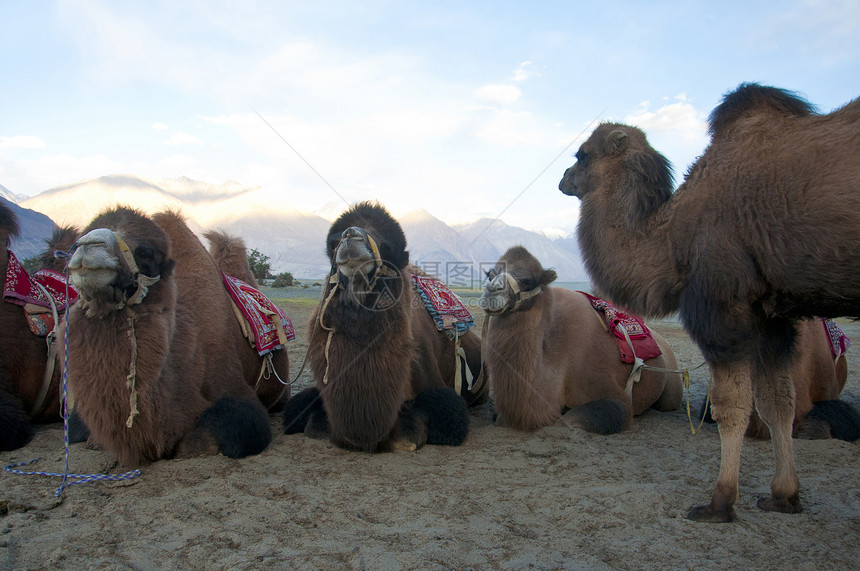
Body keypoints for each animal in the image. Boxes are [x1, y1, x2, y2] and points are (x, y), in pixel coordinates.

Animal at [63, 208, 290, 466]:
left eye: (146, 252)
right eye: (74, 243)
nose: (89, 245)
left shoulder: (234, 389)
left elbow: (222, 432)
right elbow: (78, 429)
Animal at [480, 245, 680, 434]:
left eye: (528, 281)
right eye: (490, 275)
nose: (492, 291)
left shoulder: (612, 393)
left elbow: (566, 422)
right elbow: (500, 418)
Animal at [560, 82, 860, 524]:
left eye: (582, 154)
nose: (563, 179)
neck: (676, 232)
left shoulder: (723, 304)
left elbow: (731, 405)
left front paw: (720, 501)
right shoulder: (773, 317)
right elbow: (778, 402)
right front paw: (783, 496)